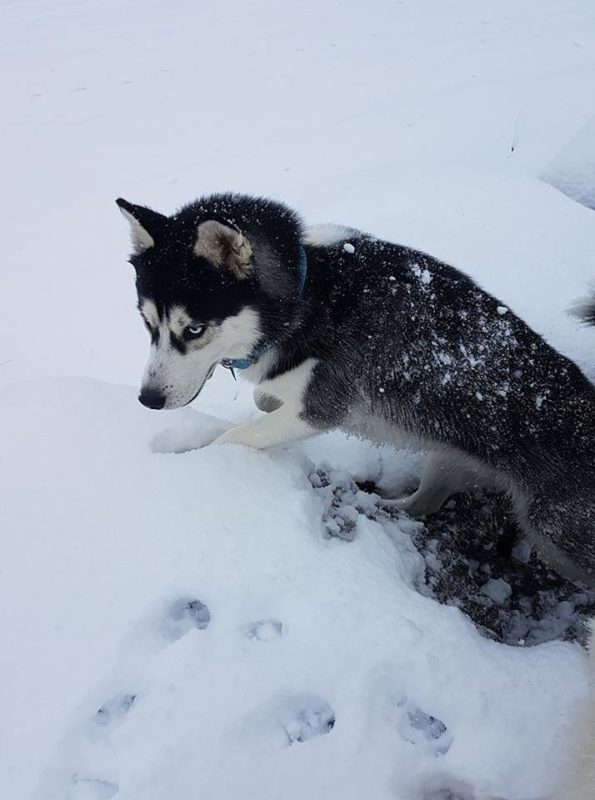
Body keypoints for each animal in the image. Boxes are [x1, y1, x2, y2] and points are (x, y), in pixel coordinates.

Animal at [116, 194, 595, 580]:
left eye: (194, 329)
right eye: (147, 322)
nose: (148, 399)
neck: (310, 292)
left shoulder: (321, 408)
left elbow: (235, 438)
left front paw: (197, 460)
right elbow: (263, 396)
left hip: (555, 532)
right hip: (448, 458)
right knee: (426, 502)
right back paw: (386, 508)